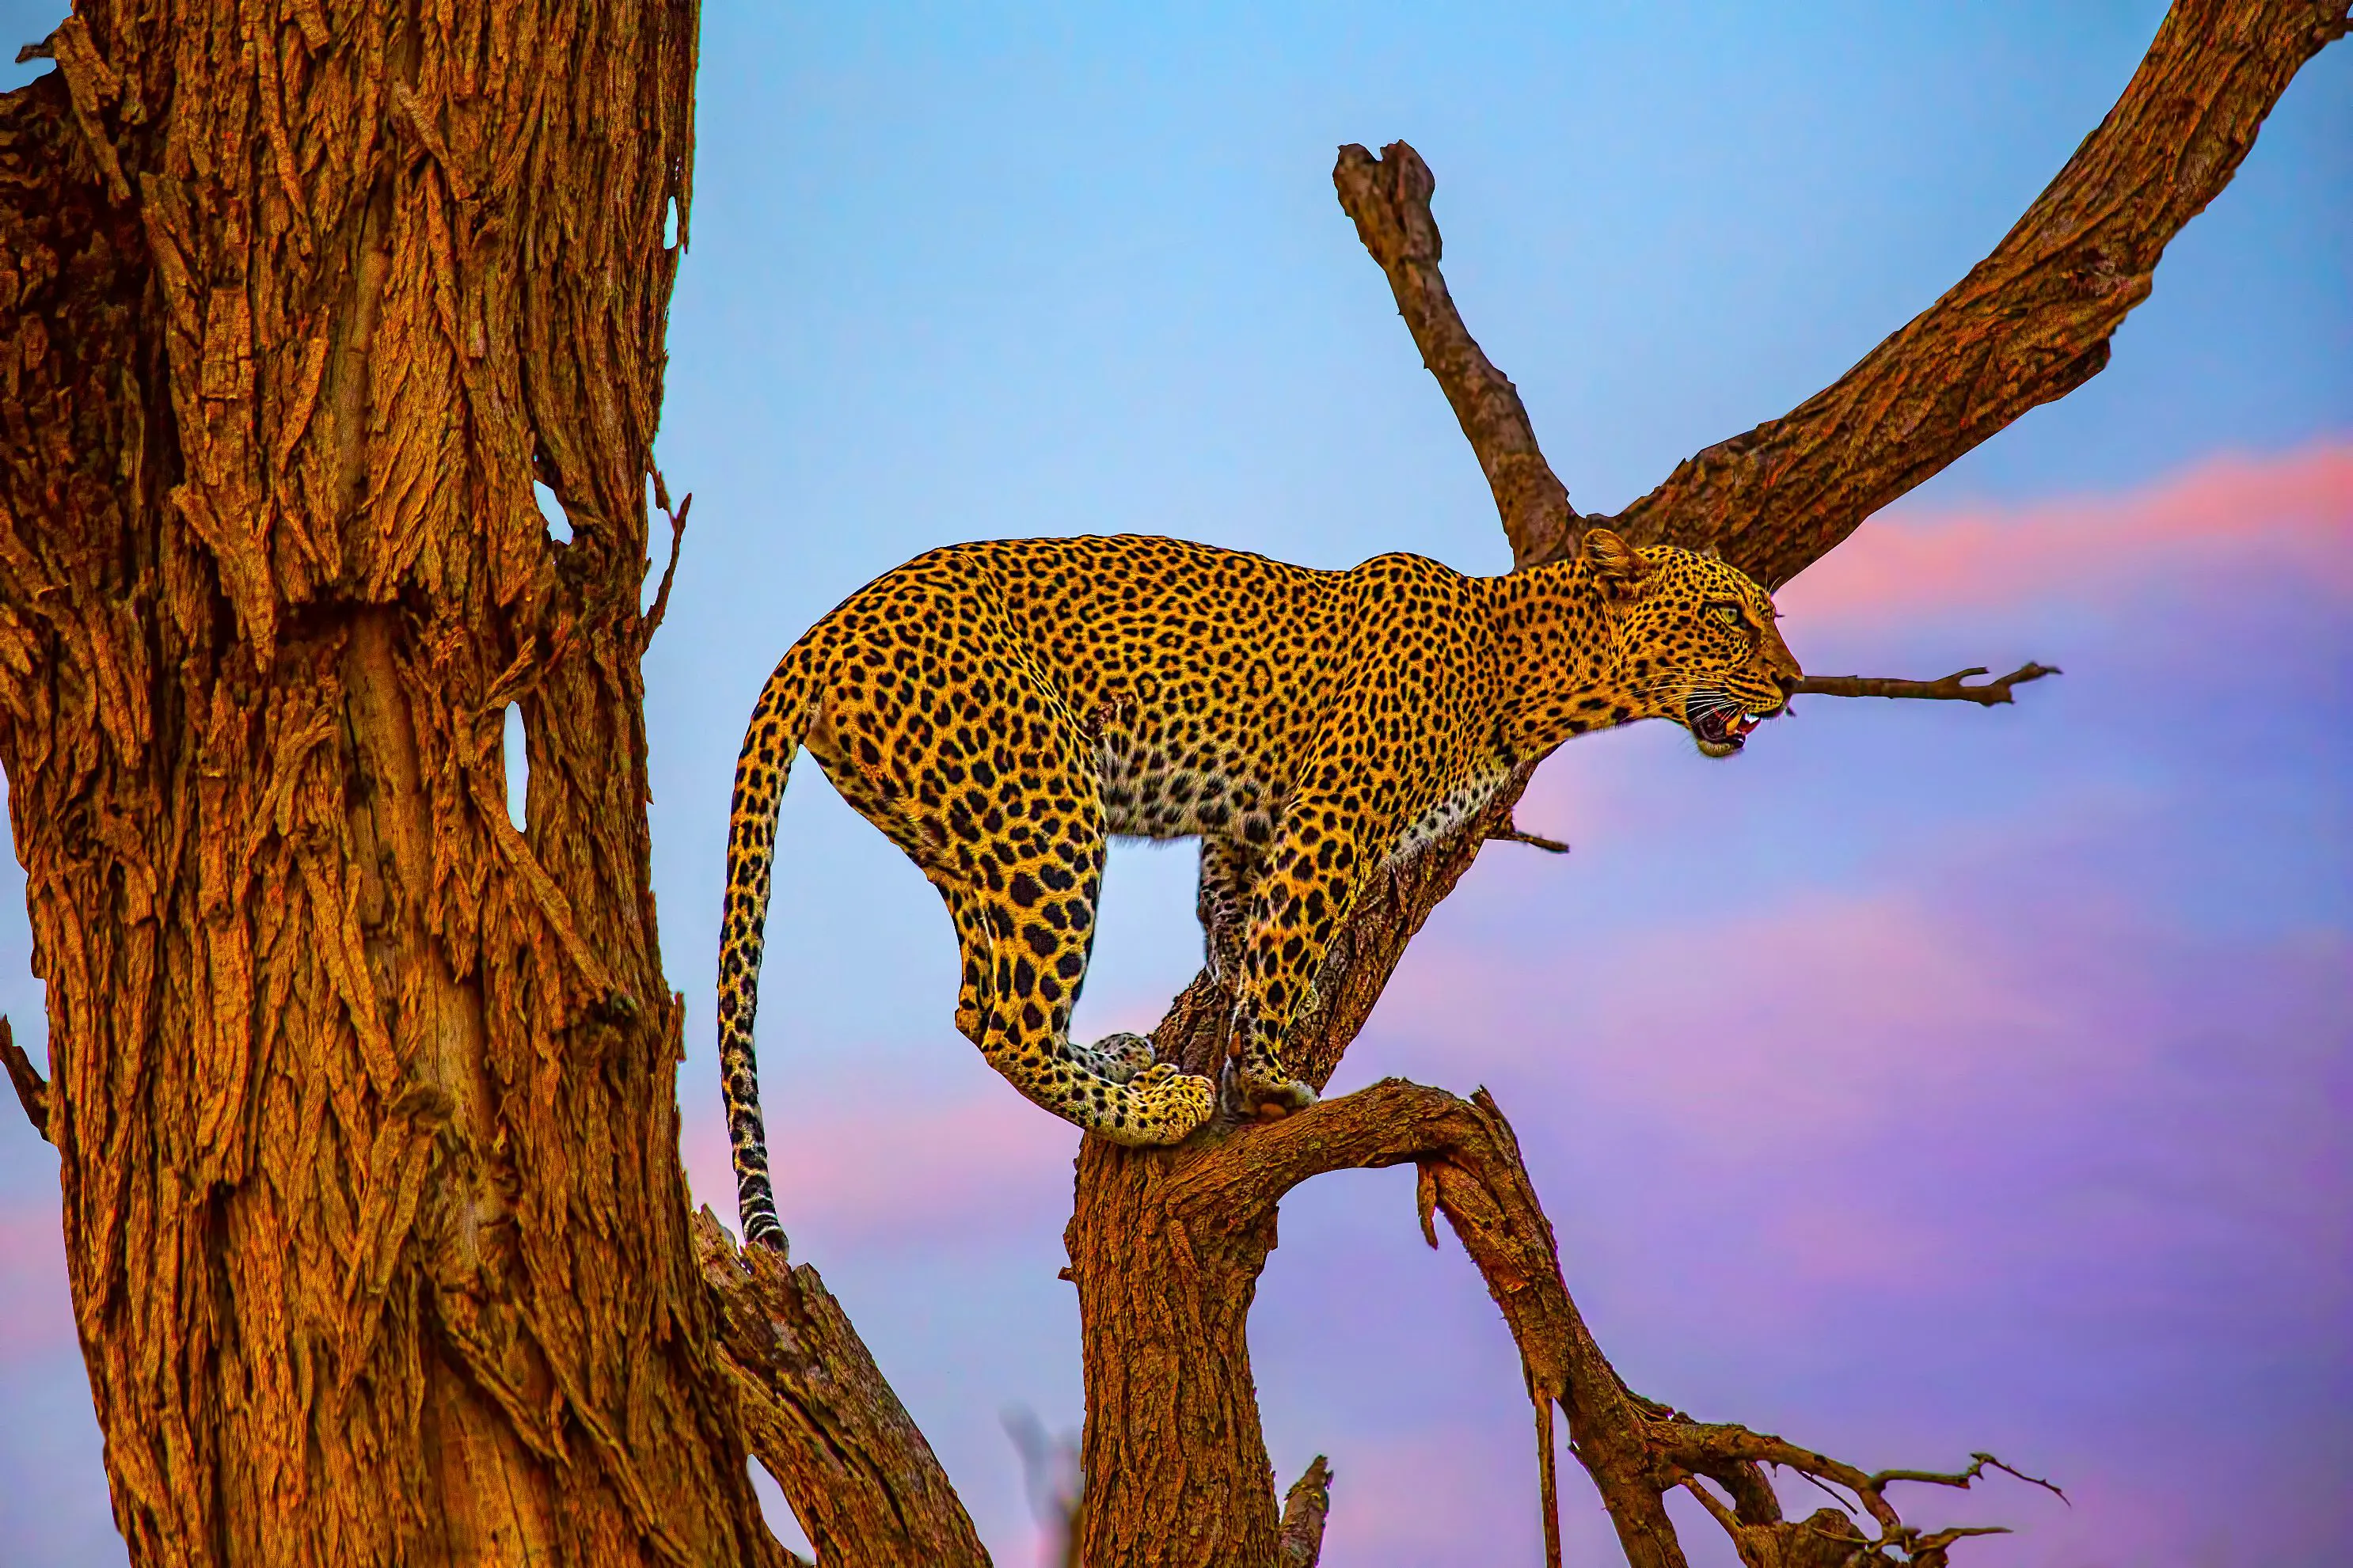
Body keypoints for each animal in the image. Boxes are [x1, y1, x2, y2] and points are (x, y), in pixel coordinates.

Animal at [715, 526, 1801, 1250]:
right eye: (1725, 615)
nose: (1792, 685)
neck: (1523, 676)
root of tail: (824, 629)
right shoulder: (1335, 811)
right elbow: (1291, 928)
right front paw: (1273, 1077)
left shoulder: (1250, 822)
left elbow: (1238, 921)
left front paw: (1256, 1002)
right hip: (1045, 806)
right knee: (1004, 1020)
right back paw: (1157, 1108)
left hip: (961, 832)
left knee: (978, 995)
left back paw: (1124, 1063)